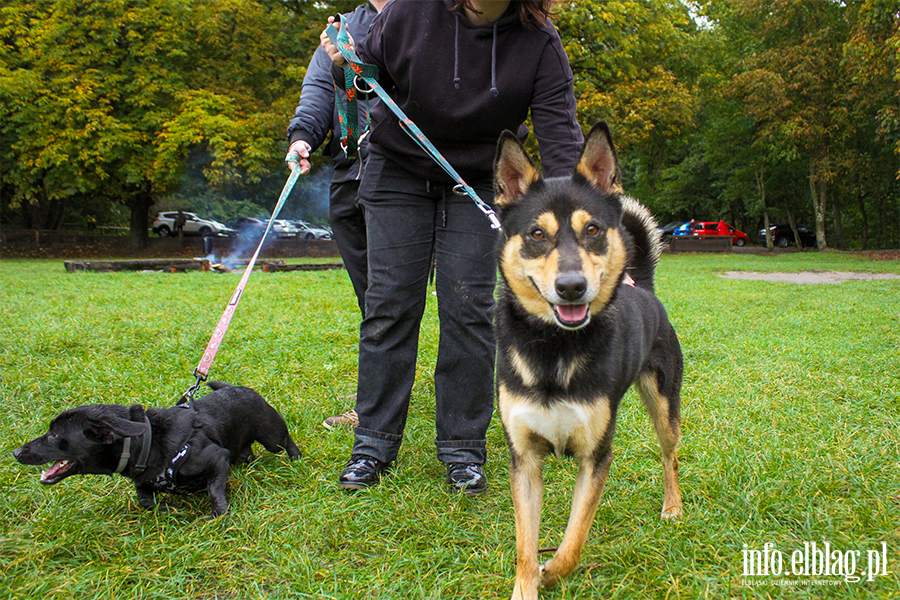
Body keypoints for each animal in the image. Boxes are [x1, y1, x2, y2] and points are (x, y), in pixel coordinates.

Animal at [14, 384, 302, 516]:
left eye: (54, 435)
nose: (16, 452)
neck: (148, 443)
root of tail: (237, 388)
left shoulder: (218, 458)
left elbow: (214, 490)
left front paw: (219, 514)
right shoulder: (143, 481)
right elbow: (145, 500)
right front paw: (169, 507)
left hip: (272, 437)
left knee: (285, 440)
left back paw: (296, 458)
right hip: (241, 446)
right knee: (246, 454)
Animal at [492, 122, 684, 600]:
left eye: (593, 229)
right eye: (536, 235)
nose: (572, 287)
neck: (555, 346)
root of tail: (643, 287)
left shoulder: (596, 456)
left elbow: (574, 541)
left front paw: (553, 572)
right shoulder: (524, 459)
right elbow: (525, 547)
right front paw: (528, 584)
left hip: (663, 403)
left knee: (670, 455)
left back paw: (673, 506)